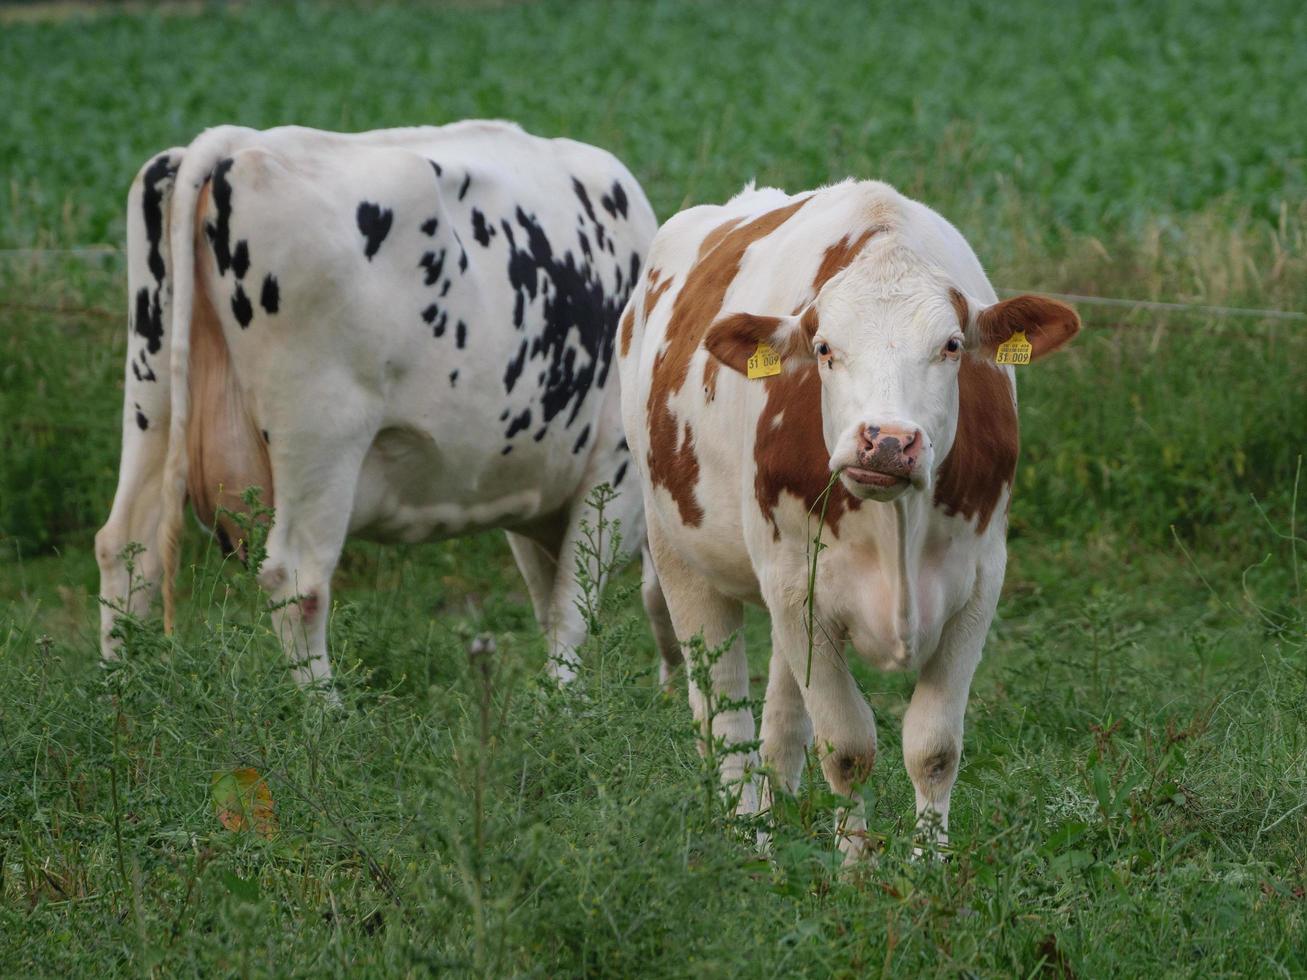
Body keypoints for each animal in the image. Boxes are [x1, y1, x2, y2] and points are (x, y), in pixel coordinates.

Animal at [96, 120, 679, 689]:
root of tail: (236, 142)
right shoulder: (611, 472)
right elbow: (572, 609)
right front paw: (563, 706)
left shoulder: (539, 491)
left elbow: (550, 601)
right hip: (321, 434)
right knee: (296, 580)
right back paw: (323, 711)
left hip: (152, 397)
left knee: (127, 548)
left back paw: (120, 694)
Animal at [616, 180, 1076, 857]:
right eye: (826, 348)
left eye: (952, 345)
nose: (886, 441)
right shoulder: (798, 593)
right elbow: (848, 750)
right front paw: (856, 868)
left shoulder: (978, 586)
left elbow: (934, 747)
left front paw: (927, 865)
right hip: (678, 552)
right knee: (724, 721)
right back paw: (749, 842)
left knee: (780, 726)